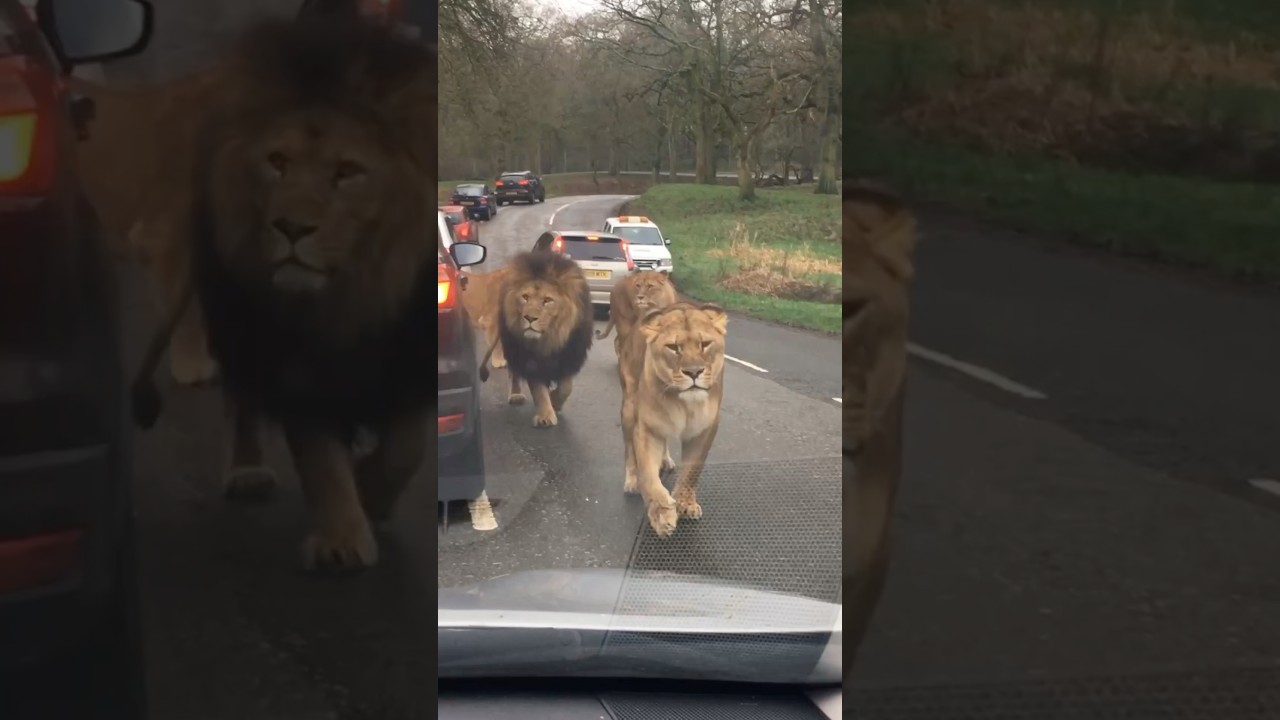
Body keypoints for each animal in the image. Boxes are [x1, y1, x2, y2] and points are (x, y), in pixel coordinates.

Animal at [130, 15, 437, 574]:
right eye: (277, 162)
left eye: (347, 172)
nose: (291, 227)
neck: (351, 295)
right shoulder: (291, 354)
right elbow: (318, 454)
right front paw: (341, 538)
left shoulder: (410, 352)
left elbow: (408, 447)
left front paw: (372, 492)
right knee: (242, 400)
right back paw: (247, 470)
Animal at [477, 251, 593, 428]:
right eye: (525, 297)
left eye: (547, 300)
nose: (530, 318)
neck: (549, 339)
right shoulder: (530, 359)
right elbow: (538, 390)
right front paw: (545, 415)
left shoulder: (570, 355)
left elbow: (566, 387)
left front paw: (555, 401)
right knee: (514, 372)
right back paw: (516, 395)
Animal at [618, 302, 727, 538]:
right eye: (673, 347)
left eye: (705, 344)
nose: (694, 372)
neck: (684, 404)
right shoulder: (647, 429)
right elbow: (648, 476)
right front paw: (662, 515)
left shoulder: (704, 430)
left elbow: (692, 471)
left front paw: (686, 504)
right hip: (629, 407)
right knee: (629, 450)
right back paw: (631, 481)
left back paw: (666, 460)